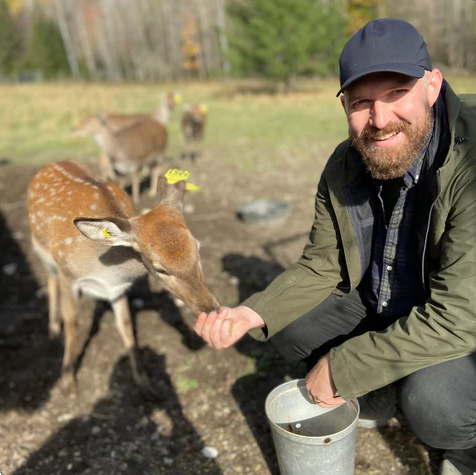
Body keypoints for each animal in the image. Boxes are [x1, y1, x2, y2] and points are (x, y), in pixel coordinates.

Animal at [27, 162, 218, 396]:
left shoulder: (117, 287)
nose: (211, 309)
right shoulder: (67, 273)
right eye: (160, 268)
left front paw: (144, 383)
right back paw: (53, 330)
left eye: (197, 248)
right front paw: (67, 380)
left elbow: (125, 324)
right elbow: (72, 322)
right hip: (40, 247)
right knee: (50, 279)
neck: (103, 270)